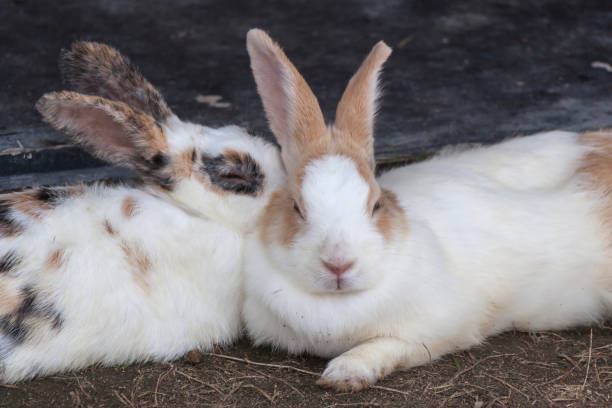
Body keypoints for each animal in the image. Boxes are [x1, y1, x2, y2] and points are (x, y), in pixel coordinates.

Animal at [240, 29, 612, 392]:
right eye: (297, 207)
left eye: (376, 204)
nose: (339, 264)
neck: (336, 303)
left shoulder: (437, 330)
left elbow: (385, 345)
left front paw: (344, 373)